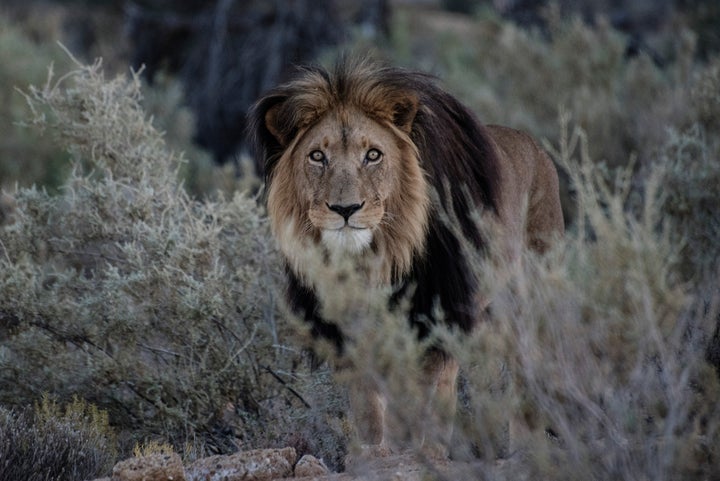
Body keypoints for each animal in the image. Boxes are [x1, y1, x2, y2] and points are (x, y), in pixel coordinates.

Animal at [250, 58, 564, 456]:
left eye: (373, 155)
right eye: (317, 156)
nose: (345, 209)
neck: (375, 260)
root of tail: (538, 148)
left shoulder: (431, 322)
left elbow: (414, 403)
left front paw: (407, 453)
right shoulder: (355, 333)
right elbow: (368, 407)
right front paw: (374, 454)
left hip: (528, 302)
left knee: (525, 375)